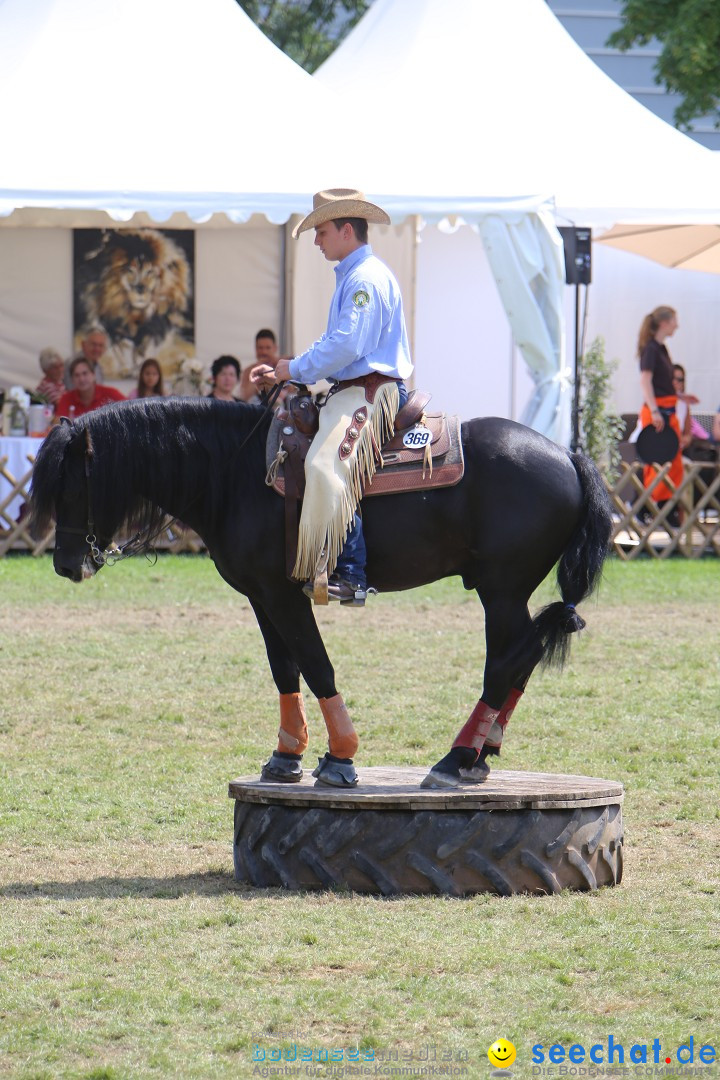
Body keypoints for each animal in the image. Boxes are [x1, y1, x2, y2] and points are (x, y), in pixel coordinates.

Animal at [31, 401, 613, 790]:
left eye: (73, 486)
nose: (65, 565)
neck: (233, 473)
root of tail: (567, 455)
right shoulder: (261, 596)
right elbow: (284, 668)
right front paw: (287, 754)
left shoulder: (285, 595)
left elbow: (316, 664)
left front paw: (340, 757)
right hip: (505, 594)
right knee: (520, 657)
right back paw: (482, 752)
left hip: (502, 589)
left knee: (510, 658)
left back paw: (455, 760)